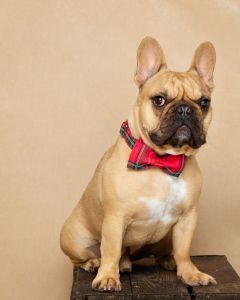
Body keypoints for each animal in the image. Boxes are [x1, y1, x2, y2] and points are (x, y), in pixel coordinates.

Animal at [59, 37, 216, 290]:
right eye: (159, 100)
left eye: (204, 102)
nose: (185, 109)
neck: (163, 160)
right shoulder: (115, 218)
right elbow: (111, 249)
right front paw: (108, 277)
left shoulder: (187, 217)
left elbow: (184, 250)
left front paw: (191, 273)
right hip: (73, 237)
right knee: (88, 256)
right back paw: (95, 263)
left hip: (165, 237)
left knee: (162, 251)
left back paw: (165, 260)